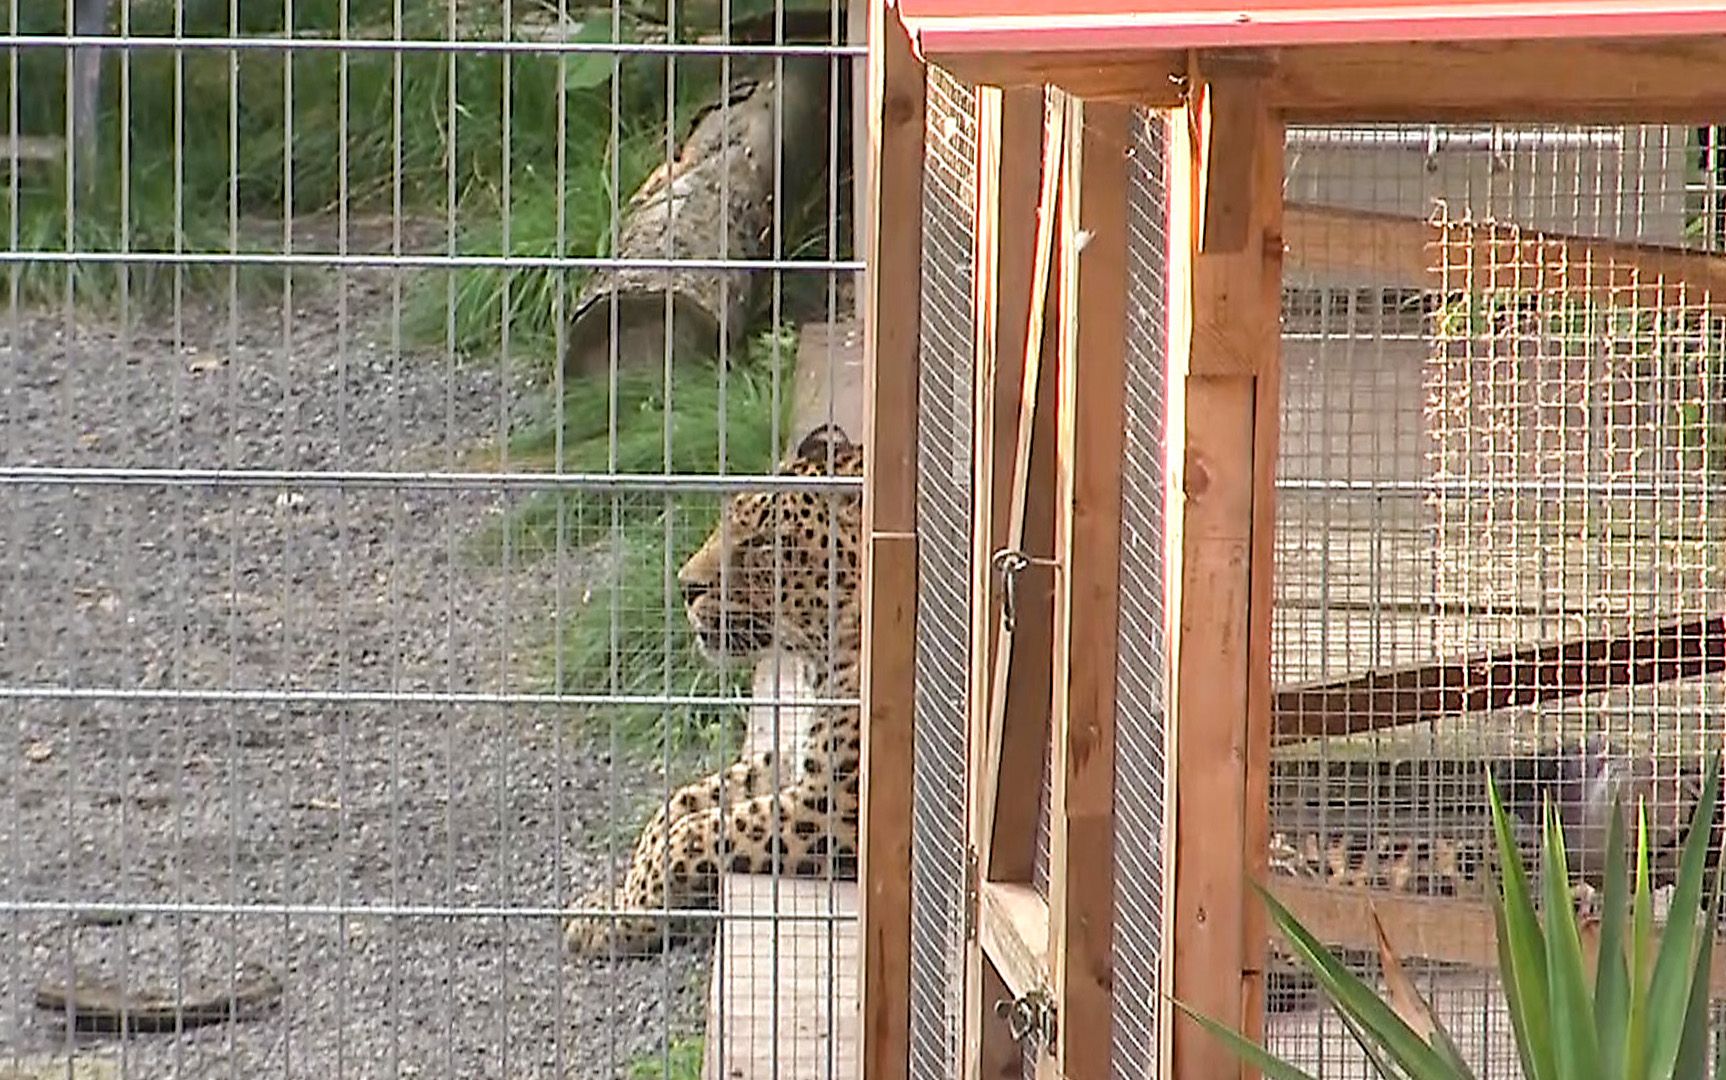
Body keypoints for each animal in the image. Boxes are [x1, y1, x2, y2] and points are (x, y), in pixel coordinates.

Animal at [564, 422, 864, 958]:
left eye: (765, 543)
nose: (685, 586)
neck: (819, 657)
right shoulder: (793, 761)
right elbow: (674, 807)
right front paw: (613, 904)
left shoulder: (832, 807)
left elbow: (689, 837)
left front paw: (625, 920)